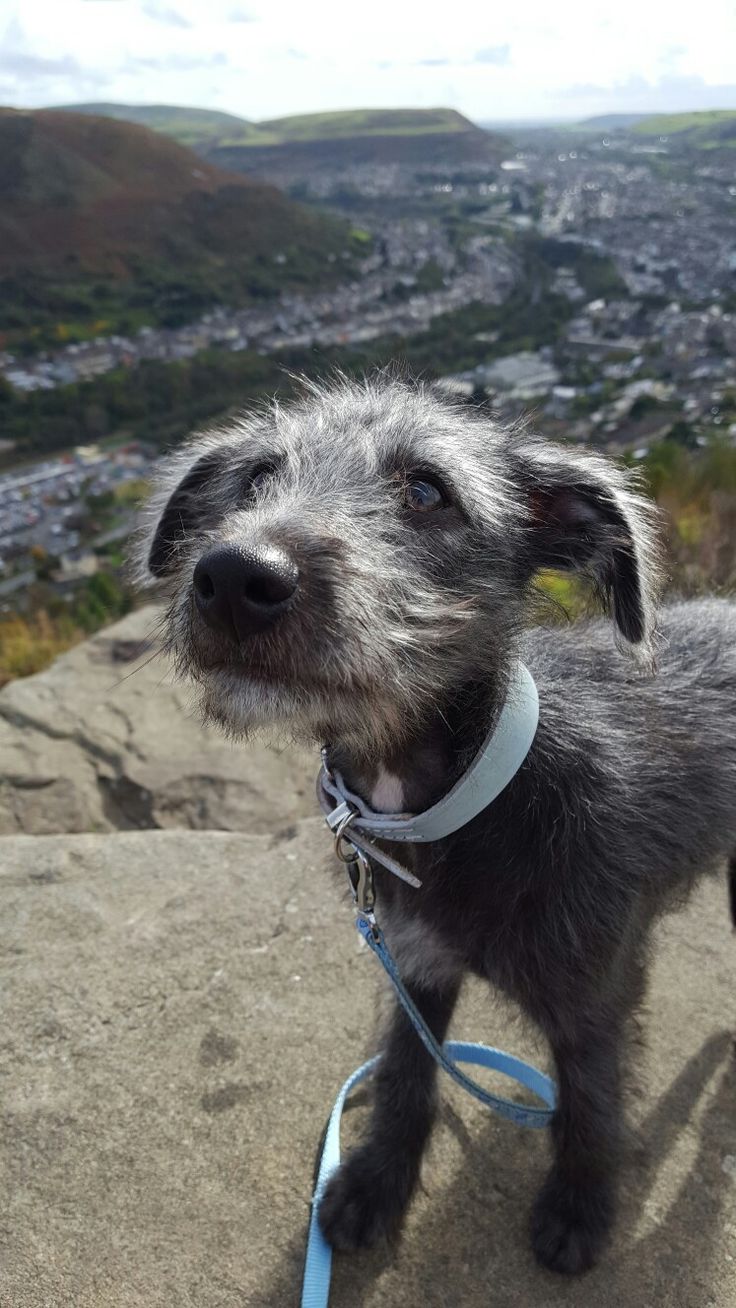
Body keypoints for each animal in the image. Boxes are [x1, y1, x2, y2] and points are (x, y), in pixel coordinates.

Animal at [136, 374, 736, 1271]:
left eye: (426, 491)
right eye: (254, 480)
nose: (237, 577)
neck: (466, 795)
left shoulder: (597, 998)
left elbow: (592, 1102)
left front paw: (580, 1207)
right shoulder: (414, 963)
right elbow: (405, 1073)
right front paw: (377, 1182)